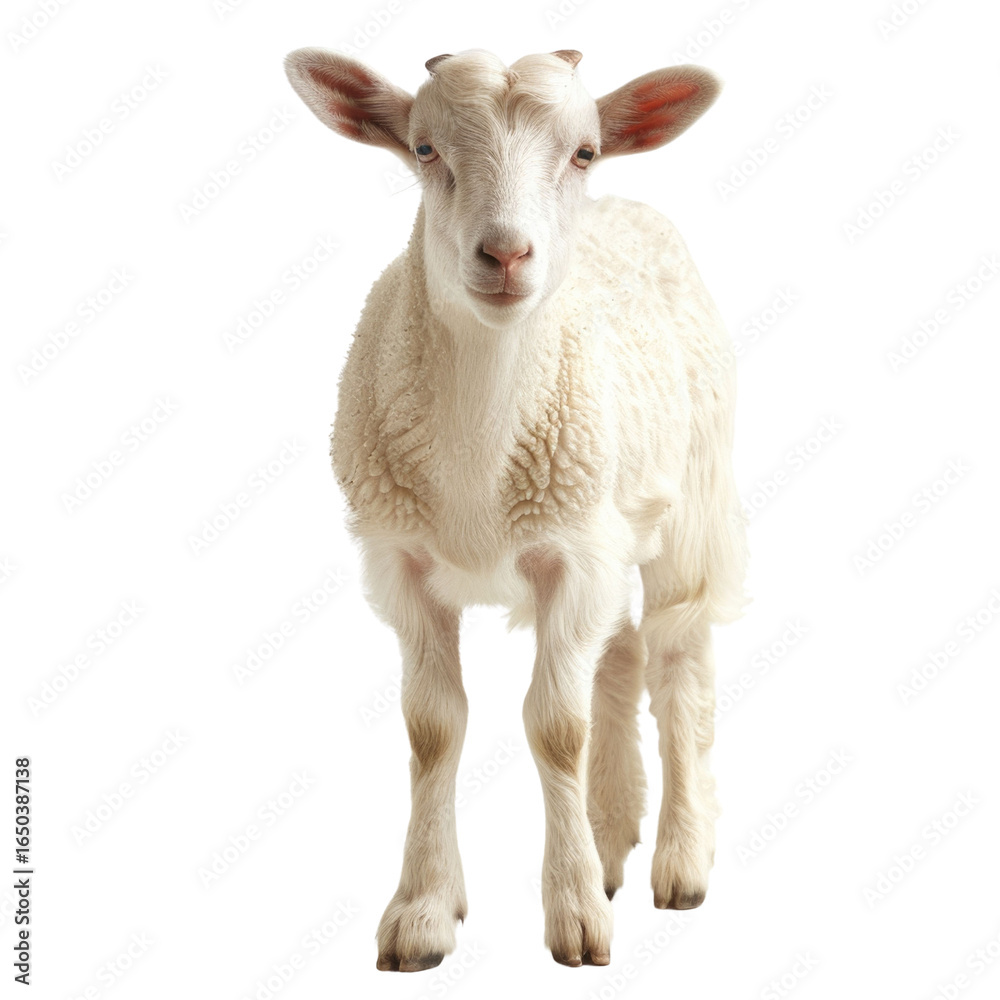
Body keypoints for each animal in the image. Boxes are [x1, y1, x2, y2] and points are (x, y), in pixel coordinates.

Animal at [284, 46, 747, 971]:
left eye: (584, 151)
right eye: (424, 149)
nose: (504, 255)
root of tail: (629, 209)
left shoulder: (572, 555)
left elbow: (555, 727)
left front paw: (574, 917)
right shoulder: (404, 564)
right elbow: (433, 727)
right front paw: (425, 912)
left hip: (690, 499)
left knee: (678, 658)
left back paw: (680, 859)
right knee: (622, 653)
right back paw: (609, 840)